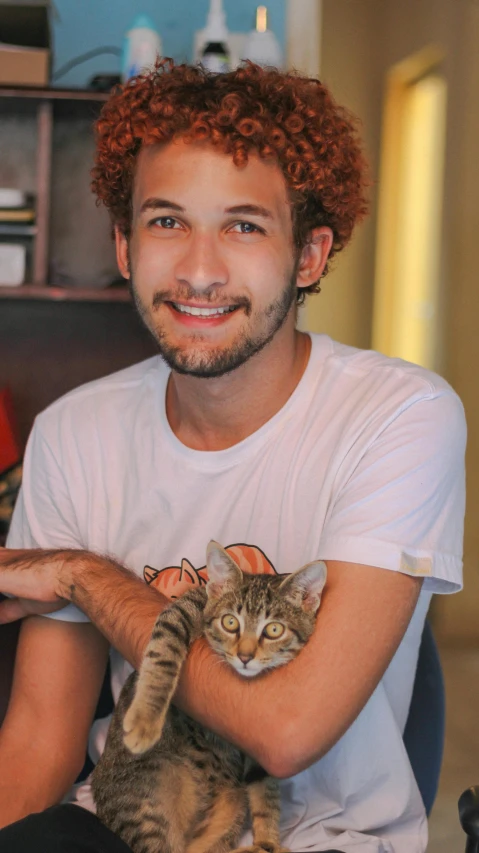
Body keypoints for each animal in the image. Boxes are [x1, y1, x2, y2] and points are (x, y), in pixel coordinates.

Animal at [92, 544, 328, 852]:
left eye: (274, 629)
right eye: (230, 622)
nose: (245, 656)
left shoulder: (258, 743)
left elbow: (265, 790)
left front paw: (267, 839)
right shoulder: (184, 609)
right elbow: (163, 652)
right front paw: (145, 720)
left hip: (229, 810)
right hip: (146, 797)